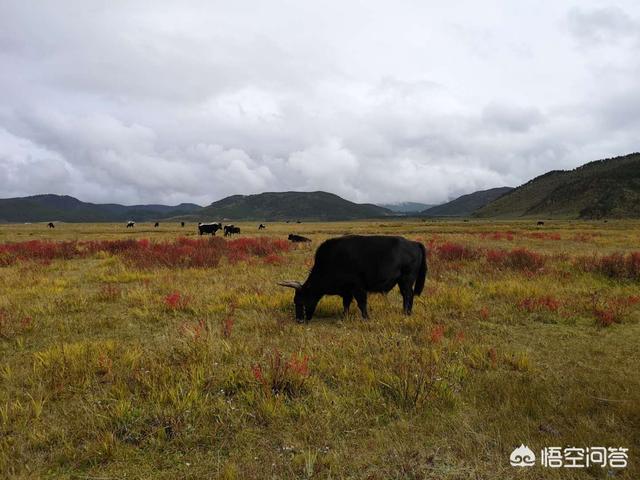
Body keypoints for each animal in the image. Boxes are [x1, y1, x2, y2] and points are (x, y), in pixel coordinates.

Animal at [278, 235, 428, 322]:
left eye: (300, 300)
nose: (299, 321)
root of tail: (414, 243)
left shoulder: (358, 288)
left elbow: (361, 303)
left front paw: (366, 318)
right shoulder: (347, 291)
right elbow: (346, 304)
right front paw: (344, 316)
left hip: (406, 280)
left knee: (408, 295)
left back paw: (406, 313)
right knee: (407, 296)